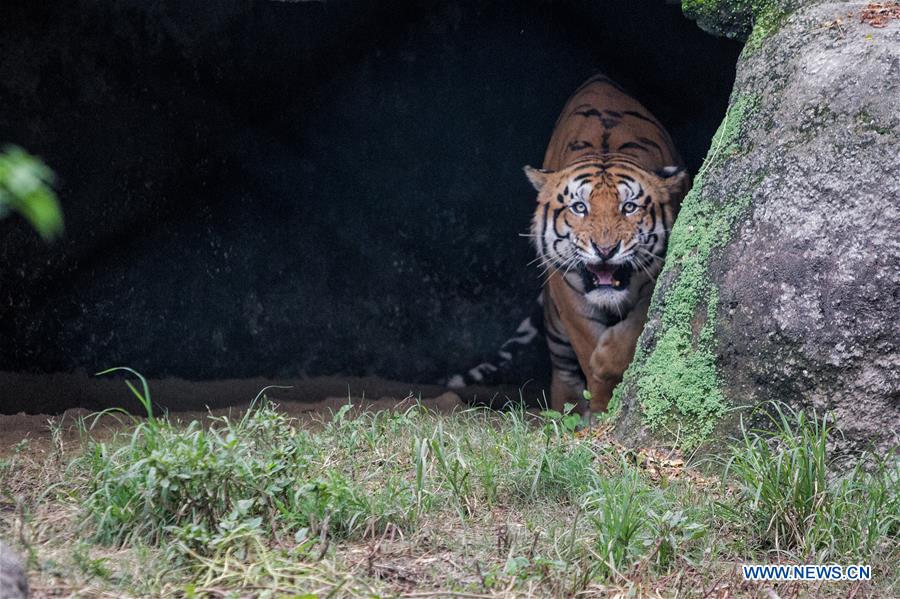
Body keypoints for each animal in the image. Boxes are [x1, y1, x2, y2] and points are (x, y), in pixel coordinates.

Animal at [448, 73, 689, 420]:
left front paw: (606, 365)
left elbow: (632, 331)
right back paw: (567, 413)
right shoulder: (568, 291)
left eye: (629, 207)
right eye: (579, 207)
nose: (605, 249)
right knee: (562, 372)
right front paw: (600, 404)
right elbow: (587, 345)